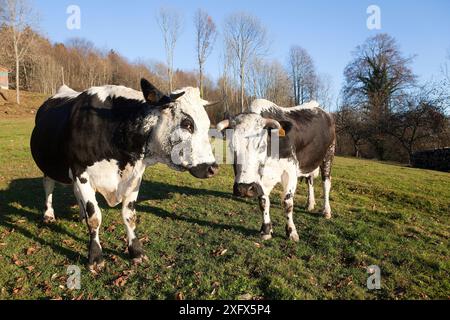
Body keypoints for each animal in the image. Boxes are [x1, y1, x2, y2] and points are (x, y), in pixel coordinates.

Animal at [29, 79, 219, 272]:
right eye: (187, 124)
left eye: (207, 125)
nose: (213, 168)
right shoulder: (81, 171)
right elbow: (95, 217)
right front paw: (95, 256)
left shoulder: (135, 176)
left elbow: (129, 215)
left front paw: (136, 251)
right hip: (49, 166)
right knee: (48, 186)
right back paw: (49, 215)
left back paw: (81, 215)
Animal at [216, 99, 336, 241]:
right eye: (231, 145)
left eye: (261, 145)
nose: (244, 188)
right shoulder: (259, 180)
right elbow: (263, 202)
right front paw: (266, 230)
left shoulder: (290, 172)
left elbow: (287, 203)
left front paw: (291, 231)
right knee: (310, 180)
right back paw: (310, 204)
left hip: (328, 154)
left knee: (326, 183)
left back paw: (326, 211)